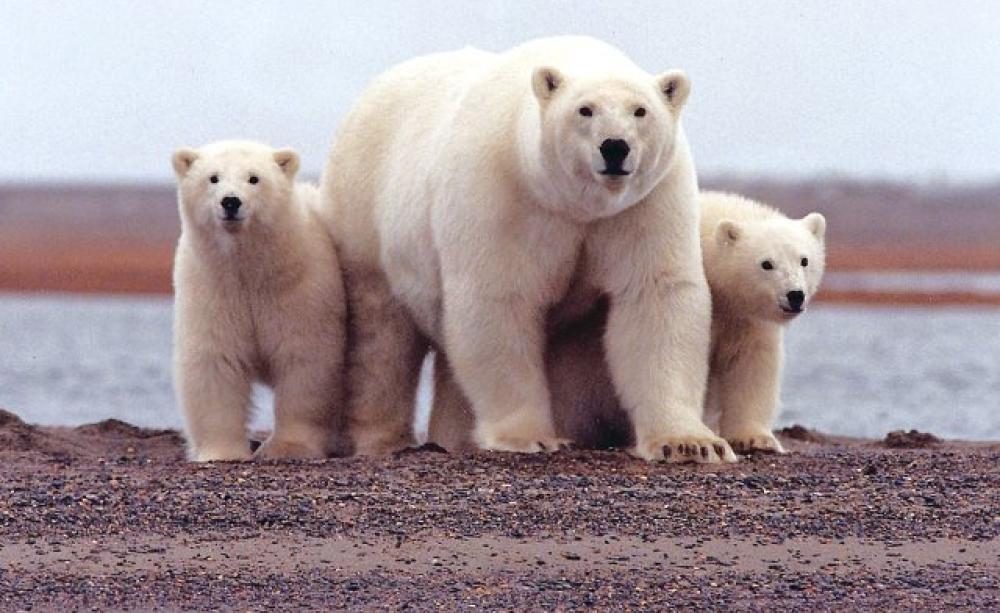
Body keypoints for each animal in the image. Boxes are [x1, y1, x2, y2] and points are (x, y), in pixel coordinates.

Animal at [171, 140, 348, 462]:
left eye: (254, 178)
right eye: (213, 177)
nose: (230, 202)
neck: (250, 272)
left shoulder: (300, 291)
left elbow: (305, 361)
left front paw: (288, 447)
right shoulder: (212, 290)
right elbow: (216, 362)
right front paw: (222, 452)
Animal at [319, 36, 734, 463]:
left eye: (640, 110)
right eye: (585, 109)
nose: (615, 147)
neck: (574, 204)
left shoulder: (644, 204)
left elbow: (655, 295)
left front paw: (690, 443)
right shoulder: (503, 193)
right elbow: (499, 300)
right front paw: (529, 436)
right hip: (365, 215)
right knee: (381, 338)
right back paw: (383, 439)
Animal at [429, 192, 827, 455]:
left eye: (804, 260)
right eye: (766, 263)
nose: (794, 295)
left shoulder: (743, 318)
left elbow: (751, 365)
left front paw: (755, 438)